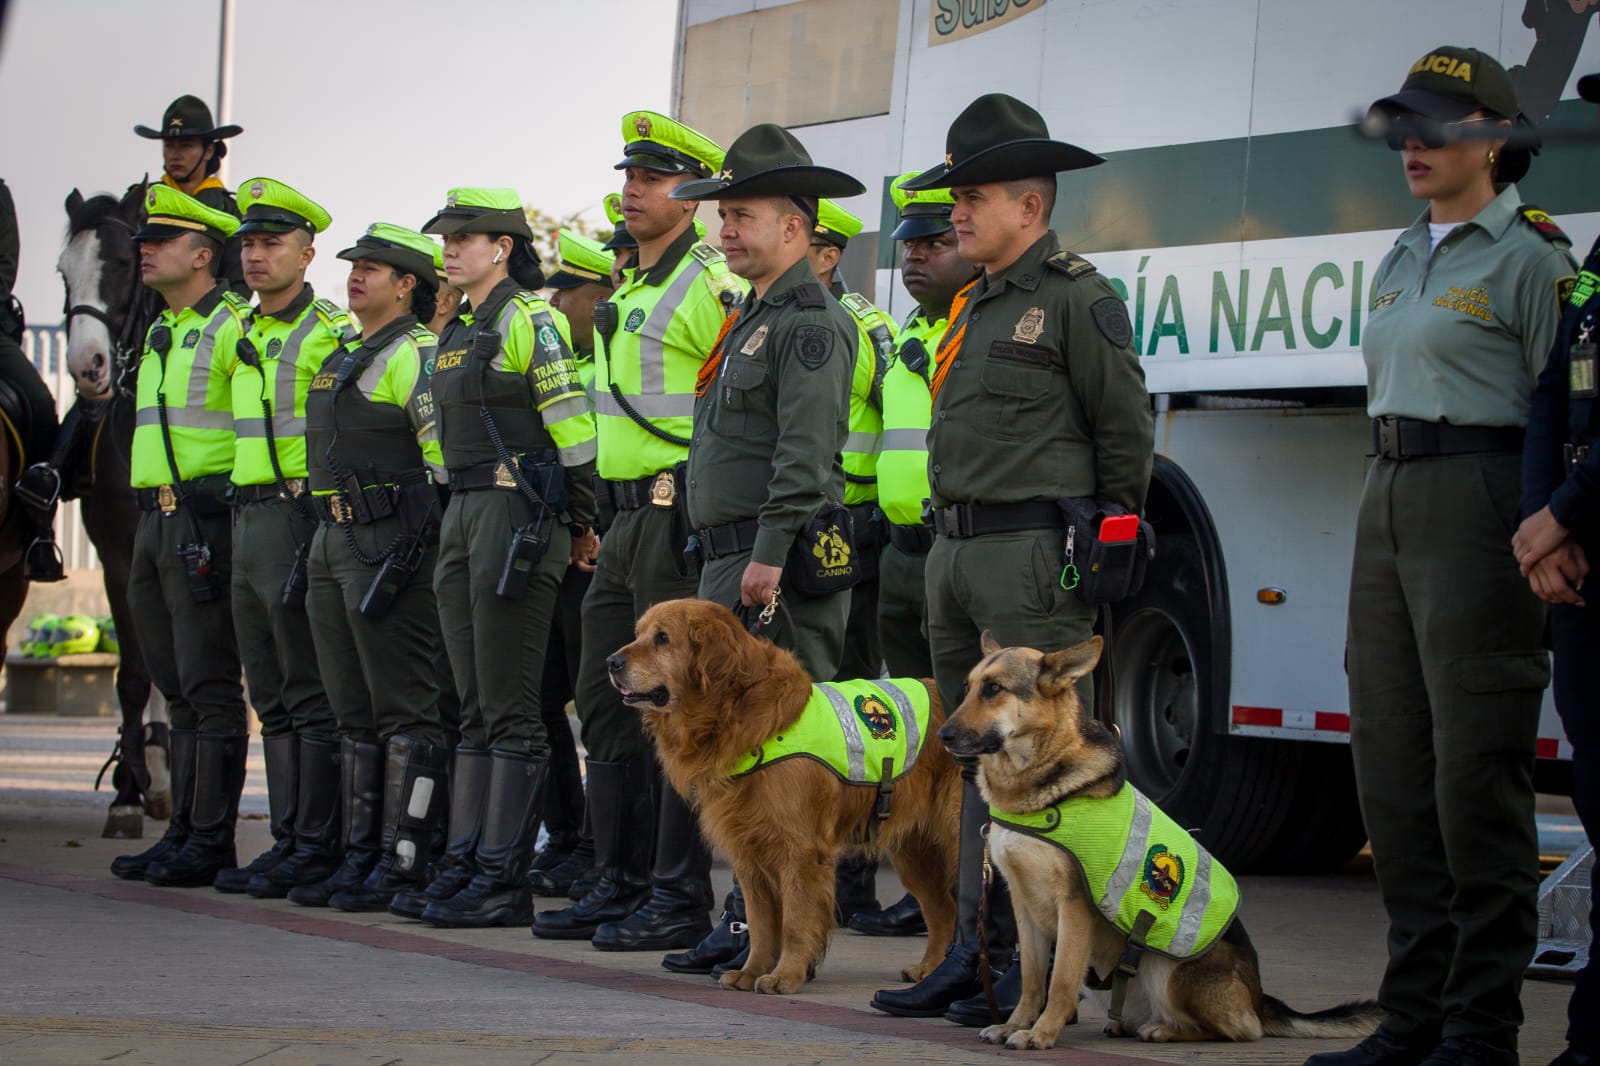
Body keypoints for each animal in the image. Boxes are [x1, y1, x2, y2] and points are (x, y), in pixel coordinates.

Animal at [608, 601, 960, 992]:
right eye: (638, 633)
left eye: (662, 638)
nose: (611, 662)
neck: (737, 710)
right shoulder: (748, 852)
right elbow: (760, 924)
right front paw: (750, 971)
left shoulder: (800, 851)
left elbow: (793, 921)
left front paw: (786, 975)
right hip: (916, 852)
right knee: (942, 911)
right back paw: (929, 969)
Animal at [940, 630, 1382, 1043]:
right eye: (970, 686)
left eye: (994, 688)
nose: (944, 734)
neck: (1038, 787)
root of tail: (1258, 996)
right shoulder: (1024, 903)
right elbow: (1033, 980)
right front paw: (1014, 1024)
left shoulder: (1075, 906)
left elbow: (1061, 980)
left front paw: (1041, 1035)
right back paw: (1130, 1024)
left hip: (1166, 971)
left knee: (1242, 1028)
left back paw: (1166, 1029)